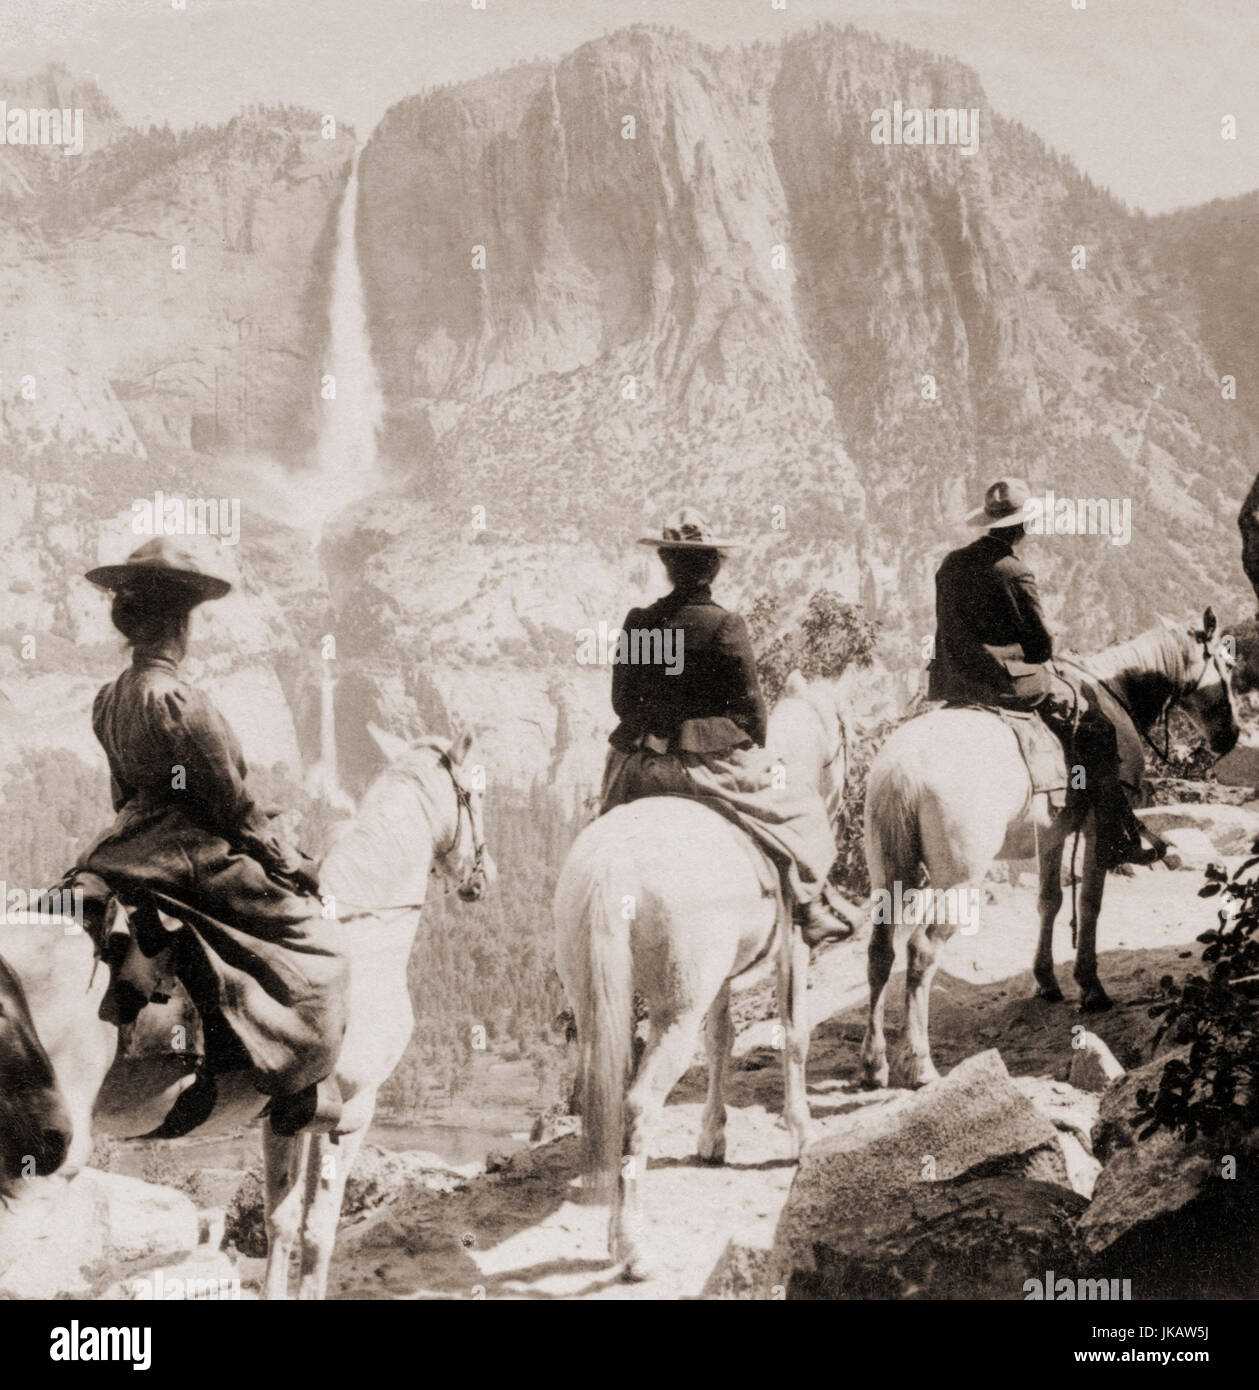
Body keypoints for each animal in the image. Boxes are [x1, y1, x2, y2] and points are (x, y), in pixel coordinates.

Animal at [0, 728, 491, 1301]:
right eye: (475, 793)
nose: (483, 878)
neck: (364, 932)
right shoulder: (353, 1110)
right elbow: (318, 1231)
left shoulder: (283, 1117)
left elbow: (280, 1221)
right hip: (46, 1161)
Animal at [555, 672, 850, 1278]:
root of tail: (613, 864)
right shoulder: (792, 951)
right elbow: (795, 1036)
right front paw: (801, 1135)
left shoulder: (718, 980)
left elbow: (721, 1040)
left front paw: (713, 1138)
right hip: (674, 1015)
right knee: (639, 1105)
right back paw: (633, 1248)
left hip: (600, 1004)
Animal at [856, 614, 1233, 1089]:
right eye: (1228, 666)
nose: (1231, 738)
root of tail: (902, 770)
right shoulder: (1095, 828)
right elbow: (1089, 902)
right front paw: (1089, 985)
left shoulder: (1052, 834)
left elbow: (1049, 901)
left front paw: (1045, 980)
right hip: (959, 882)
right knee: (921, 952)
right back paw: (921, 1063)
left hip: (889, 874)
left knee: (879, 952)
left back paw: (874, 1064)